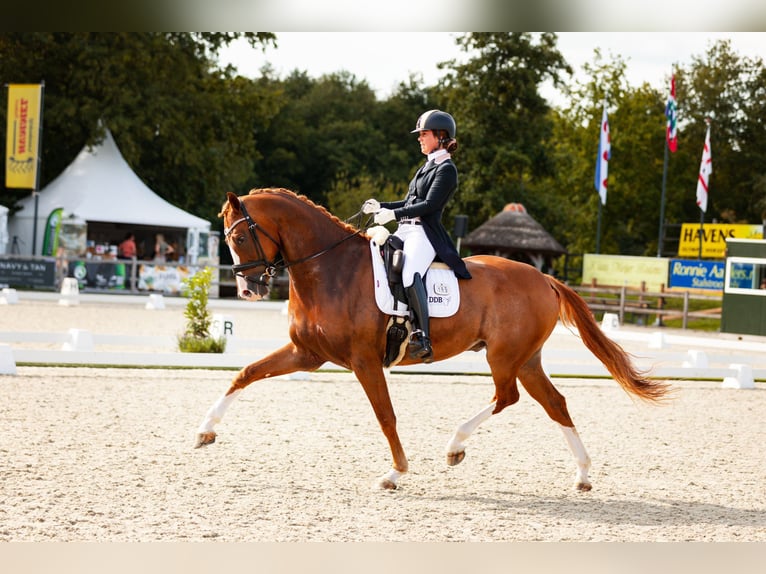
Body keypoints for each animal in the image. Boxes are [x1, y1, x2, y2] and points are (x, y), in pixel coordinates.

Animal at [198, 188, 672, 490]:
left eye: (238, 236)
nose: (249, 289)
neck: (329, 269)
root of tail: (544, 278)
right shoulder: (307, 353)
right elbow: (246, 373)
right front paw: (204, 432)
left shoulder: (364, 361)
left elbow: (385, 416)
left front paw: (396, 472)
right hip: (526, 358)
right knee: (553, 402)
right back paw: (583, 475)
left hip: (504, 356)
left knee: (507, 397)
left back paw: (455, 447)